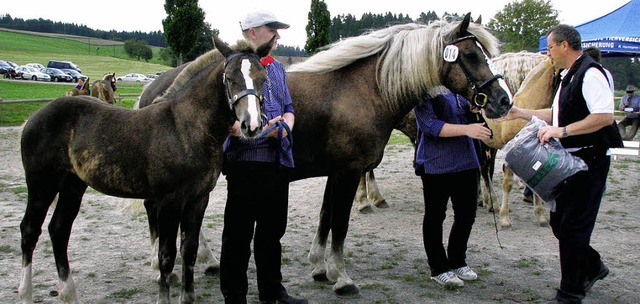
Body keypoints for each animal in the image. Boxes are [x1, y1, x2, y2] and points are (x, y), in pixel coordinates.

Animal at [17, 36, 272, 304]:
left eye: (263, 78)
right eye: (230, 77)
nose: (251, 125)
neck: (184, 128)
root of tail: (35, 116)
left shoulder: (199, 199)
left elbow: (189, 251)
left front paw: (187, 297)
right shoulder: (170, 201)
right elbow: (167, 255)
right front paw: (164, 296)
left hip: (72, 185)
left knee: (59, 230)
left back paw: (68, 294)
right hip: (42, 184)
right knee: (30, 230)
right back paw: (26, 293)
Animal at [284, 13, 510, 294]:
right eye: (470, 55)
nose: (504, 100)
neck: (354, 91)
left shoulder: (335, 174)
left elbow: (326, 217)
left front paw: (319, 268)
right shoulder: (348, 172)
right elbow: (340, 224)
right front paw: (342, 277)